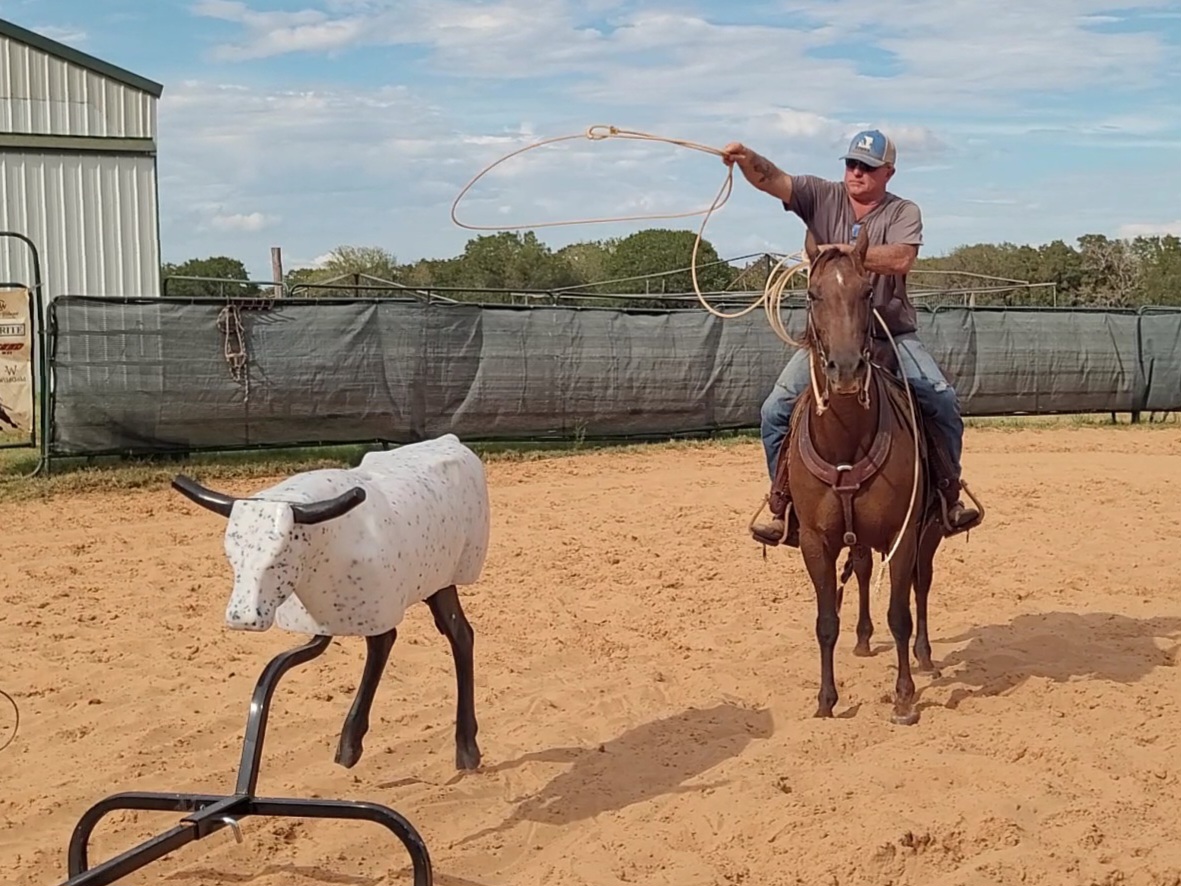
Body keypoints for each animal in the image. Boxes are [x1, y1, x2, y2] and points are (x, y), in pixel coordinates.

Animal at [785, 224, 963, 726]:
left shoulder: (903, 535)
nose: (845, 370)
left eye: (867, 292)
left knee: (922, 585)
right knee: (863, 569)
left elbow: (900, 615)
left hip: (930, 532)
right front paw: (826, 700)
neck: (846, 439)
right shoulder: (815, 541)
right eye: (811, 294)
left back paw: (925, 657)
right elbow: (826, 622)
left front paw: (904, 698)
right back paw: (863, 640)